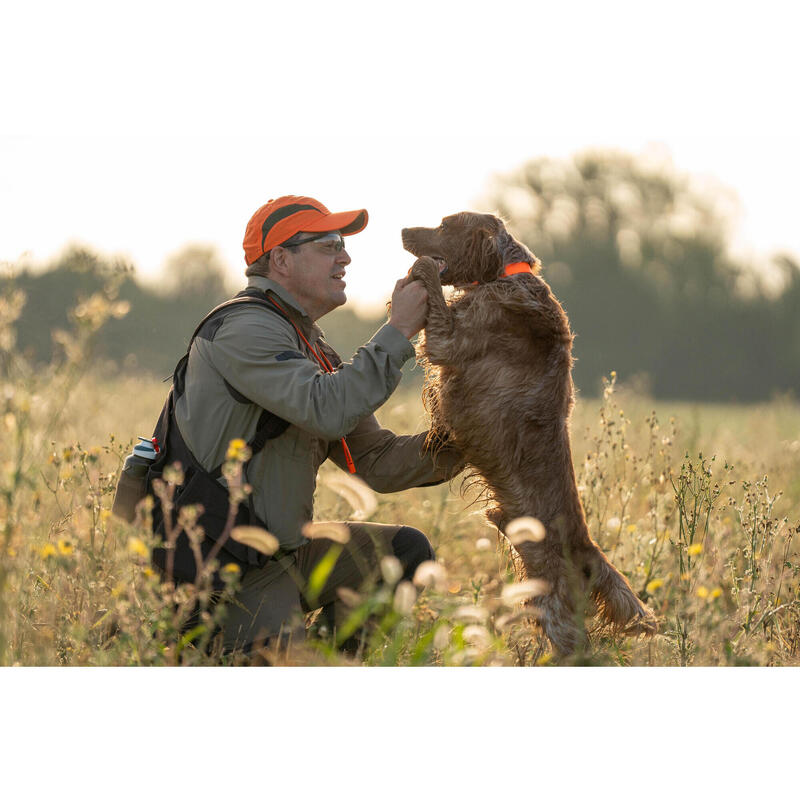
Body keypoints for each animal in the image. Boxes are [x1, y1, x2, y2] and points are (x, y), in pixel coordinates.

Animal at [400, 212, 656, 656]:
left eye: (445, 226)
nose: (401, 231)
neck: (506, 275)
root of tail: (588, 549)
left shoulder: (450, 339)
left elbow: (434, 293)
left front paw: (422, 269)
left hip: (551, 601)